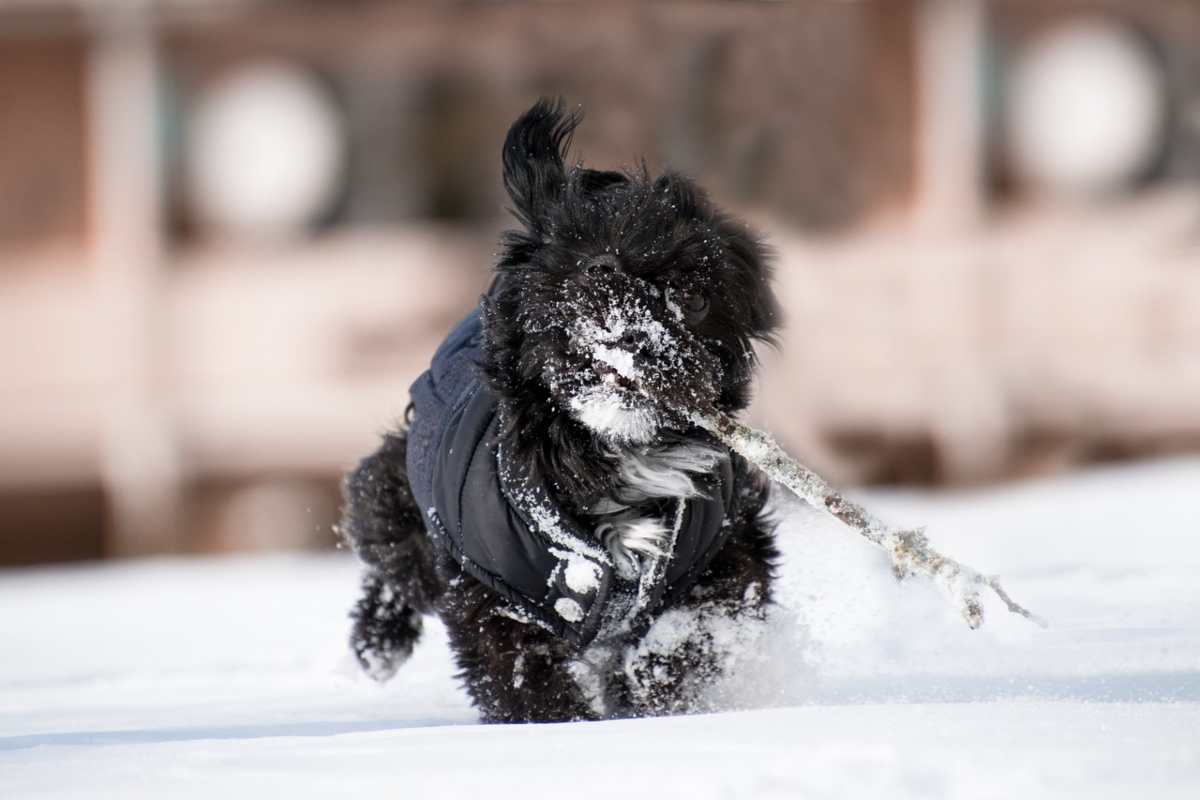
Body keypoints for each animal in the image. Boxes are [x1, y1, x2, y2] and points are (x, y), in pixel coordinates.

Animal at [343, 97, 782, 724]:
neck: (611, 457)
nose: (636, 336)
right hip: (403, 501)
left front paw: (647, 694)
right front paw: (564, 726)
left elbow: (694, 634)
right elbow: (523, 679)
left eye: (694, 299)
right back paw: (376, 642)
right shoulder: (492, 593)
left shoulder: (727, 545)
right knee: (393, 560)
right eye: (594, 271)